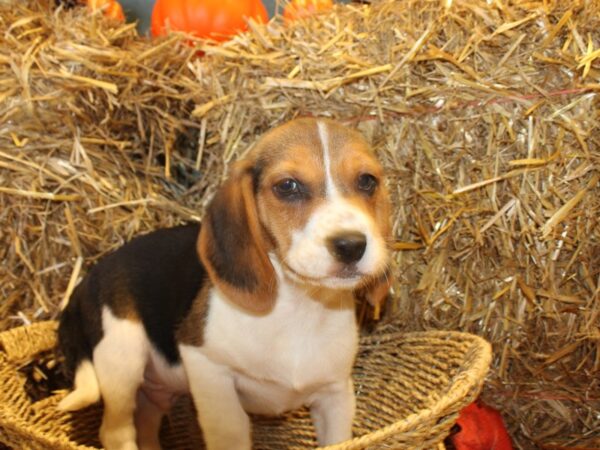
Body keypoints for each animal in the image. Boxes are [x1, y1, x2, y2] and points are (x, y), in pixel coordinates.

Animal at [58, 118, 392, 448]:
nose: (351, 245)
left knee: (146, 424)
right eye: (288, 186)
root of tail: (86, 280)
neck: (299, 307)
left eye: (367, 181)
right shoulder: (207, 368)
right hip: (122, 356)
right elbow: (232, 429)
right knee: (116, 432)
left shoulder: (336, 395)